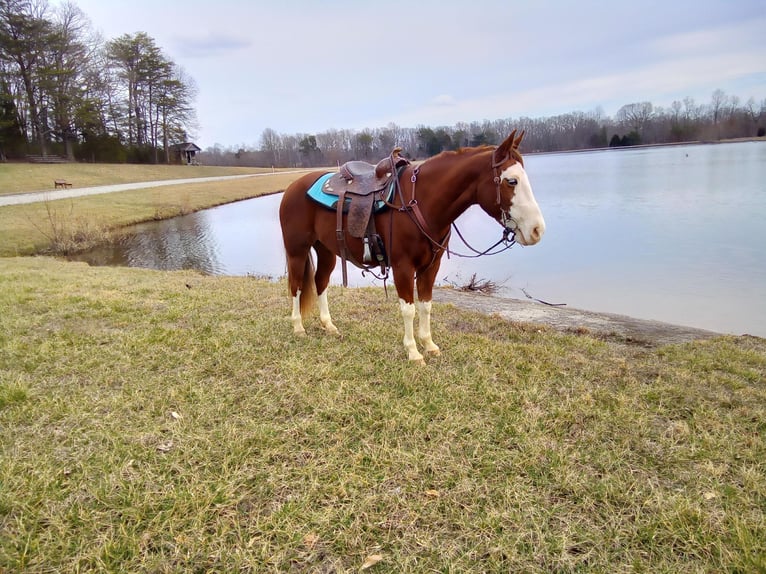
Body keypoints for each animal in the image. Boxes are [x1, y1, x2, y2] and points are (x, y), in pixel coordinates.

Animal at [280, 133, 544, 362]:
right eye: (512, 181)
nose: (537, 230)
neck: (420, 203)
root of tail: (292, 187)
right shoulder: (403, 267)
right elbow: (408, 309)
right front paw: (414, 352)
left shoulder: (431, 266)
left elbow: (425, 305)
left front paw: (429, 345)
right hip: (297, 250)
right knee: (295, 286)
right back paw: (298, 327)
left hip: (326, 251)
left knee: (320, 282)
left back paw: (329, 325)